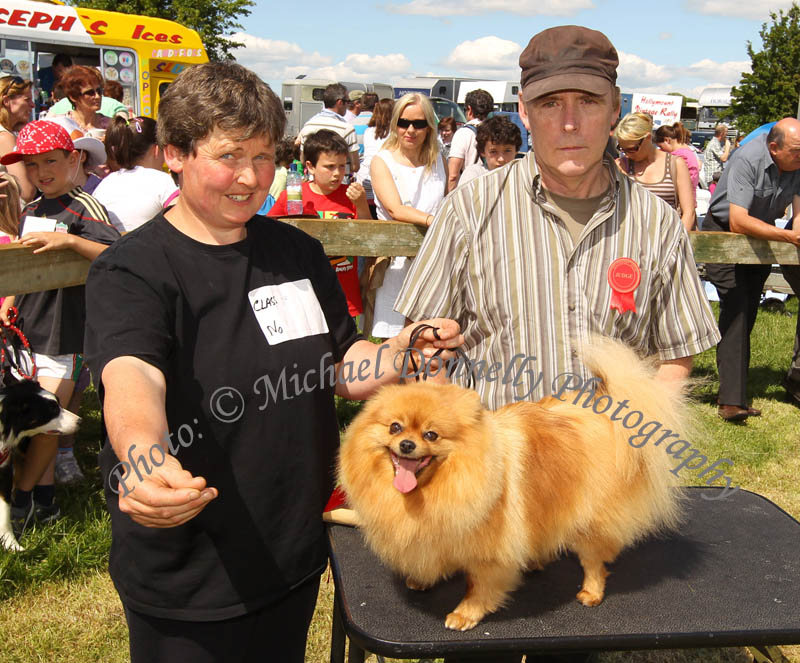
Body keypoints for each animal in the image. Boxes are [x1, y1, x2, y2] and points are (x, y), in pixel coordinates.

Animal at [338, 338, 688, 632]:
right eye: (395, 428)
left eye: (431, 435)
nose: (407, 445)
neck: (440, 484)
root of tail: (610, 414)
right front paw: (422, 581)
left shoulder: (490, 553)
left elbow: (479, 586)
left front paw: (465, 614)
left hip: (591, 519)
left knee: (594, 561)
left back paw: (591, 592)